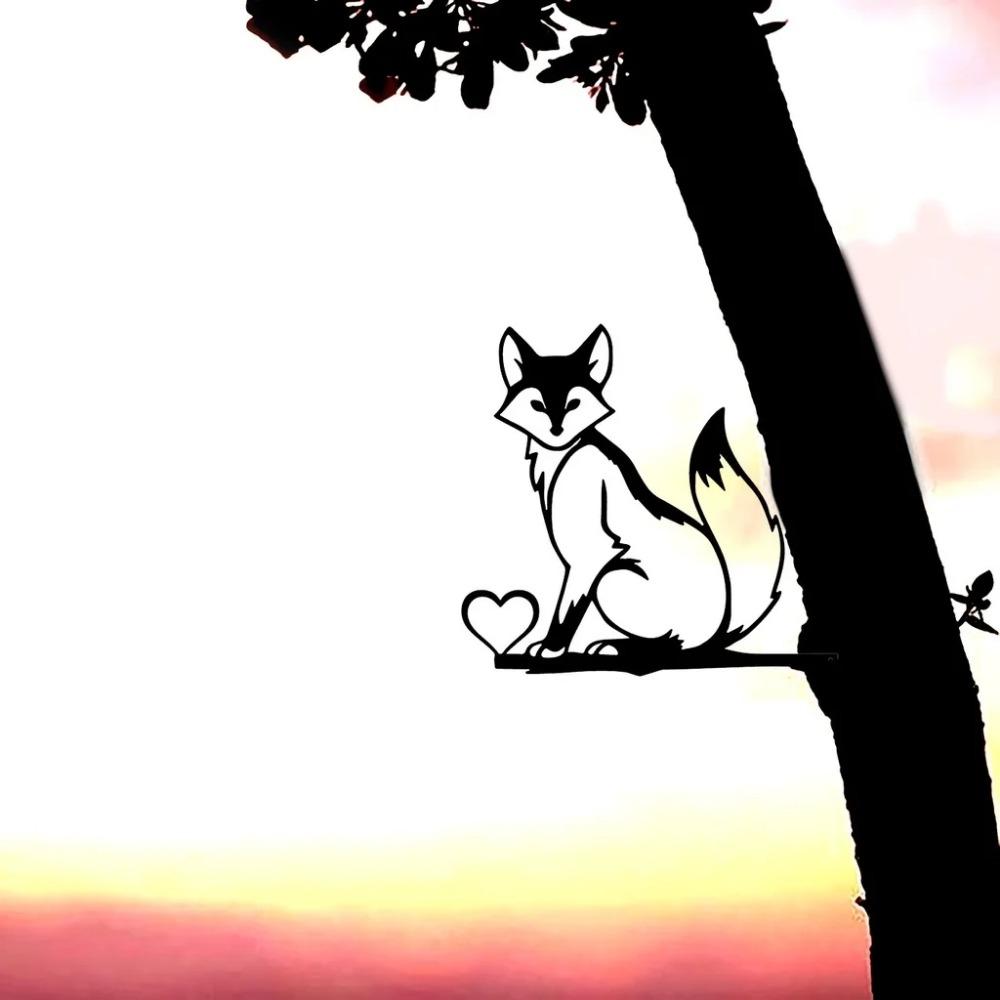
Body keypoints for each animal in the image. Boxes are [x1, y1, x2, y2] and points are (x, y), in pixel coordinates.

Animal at [495, 325, 785, 658]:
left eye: (573, 404)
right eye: (537, 405)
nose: (556, 430)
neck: (563, 456)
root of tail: (724, 622)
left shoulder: (591, 553)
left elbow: (567, 608)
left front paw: (552, 647)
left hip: (610, 579)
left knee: (676, 642)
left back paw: (621, 645)